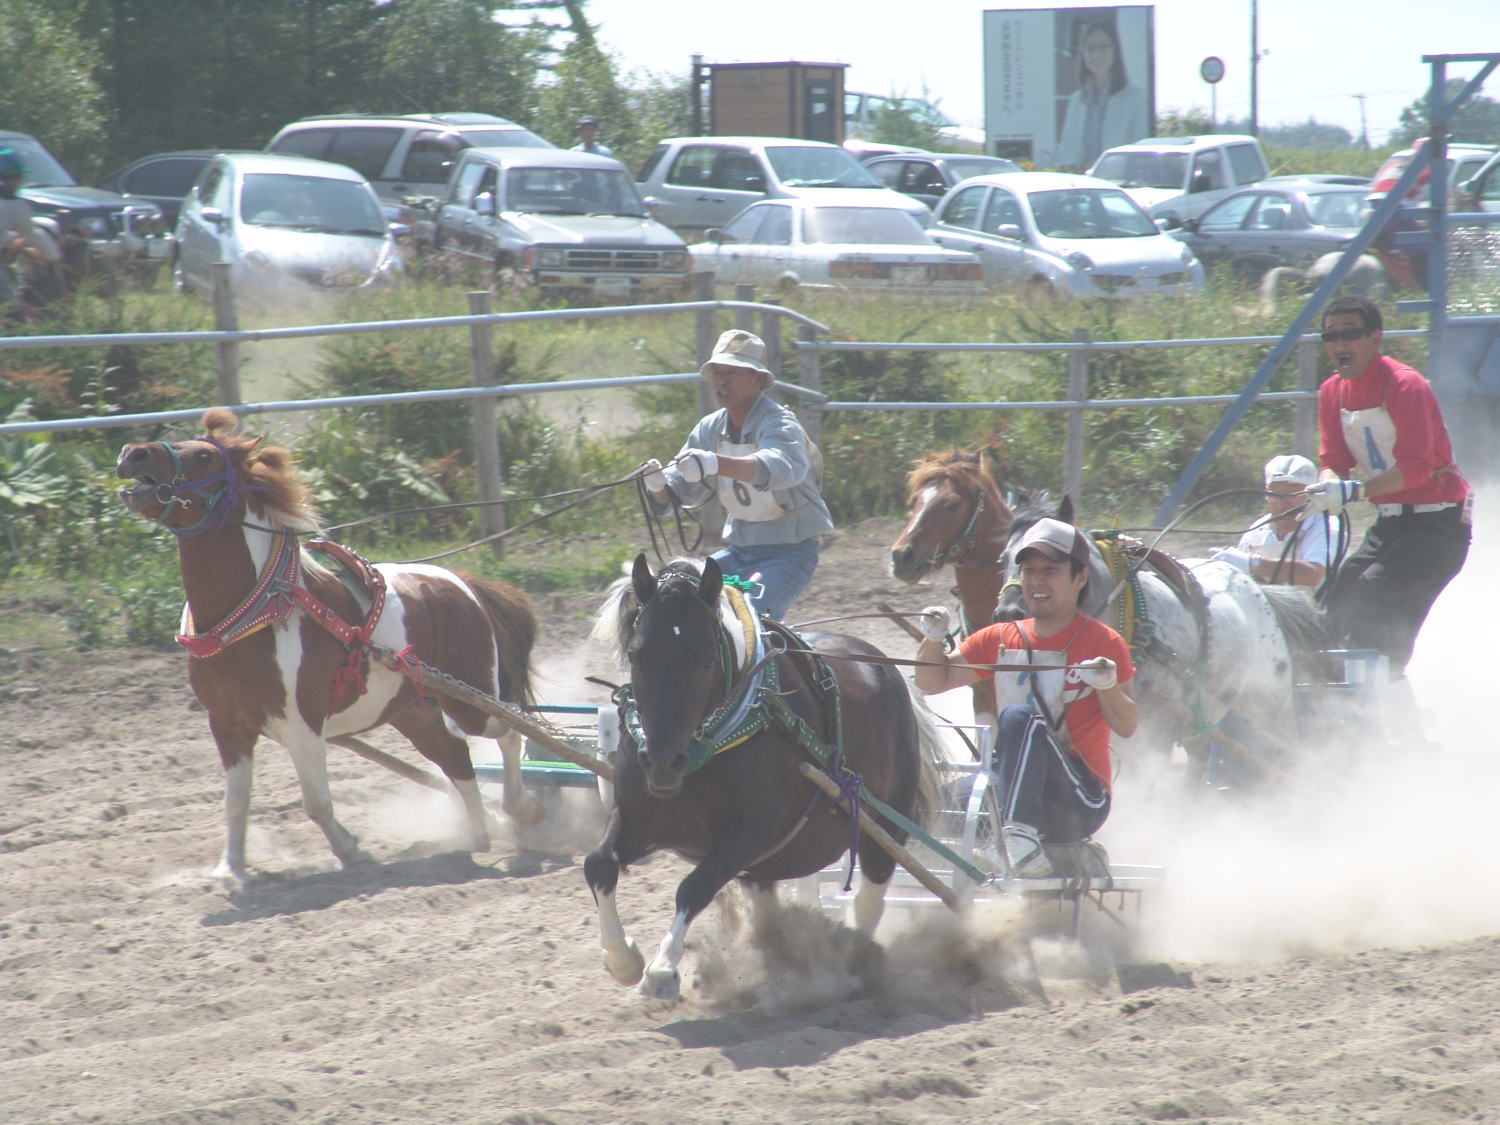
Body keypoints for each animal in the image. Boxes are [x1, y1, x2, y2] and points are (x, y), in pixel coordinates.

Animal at [117, 411, 540, 888]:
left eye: (205, 455)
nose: (134, 452)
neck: (255, 615)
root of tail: (462, 583)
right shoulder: (227, 724)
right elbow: (236, 803)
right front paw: (231, 869)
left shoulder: (301, 725)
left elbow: (316, 802)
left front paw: (352, 852)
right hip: (413, 709)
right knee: (456, 757)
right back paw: (478, 832)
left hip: (472, 700)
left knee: (510, 731)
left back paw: (520, 810)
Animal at [582, 561, 936, 1002]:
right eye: (636, 653)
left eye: (705, 657)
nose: (663, 761)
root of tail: (885, 668)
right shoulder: (638, 820)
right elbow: (599, 864)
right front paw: (624, 958)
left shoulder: (749, 833)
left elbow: (694, 887)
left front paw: (662, 968)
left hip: (883, 828)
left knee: (871, 894)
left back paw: (853, 960)